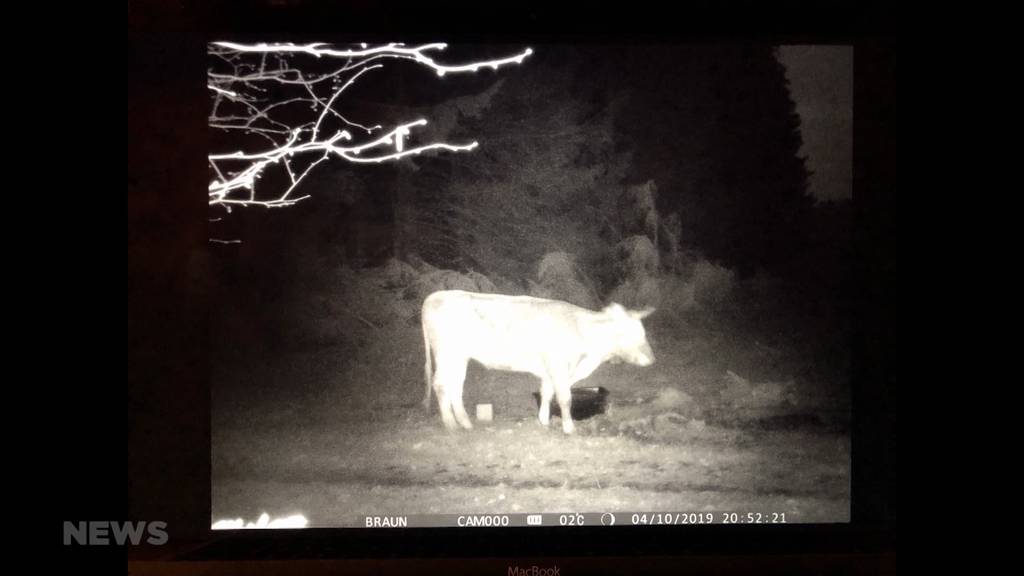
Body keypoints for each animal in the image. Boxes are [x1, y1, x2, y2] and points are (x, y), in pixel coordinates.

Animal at [421, 289, 655, 432]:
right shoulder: (558, 365)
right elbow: (564, 397)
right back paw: (451, 424)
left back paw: (465, 422)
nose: (652, 359)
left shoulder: (550, 368)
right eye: (628, 333)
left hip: (459, 357)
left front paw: (543, 420)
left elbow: (547, 393)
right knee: (441, 384)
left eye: (643, 332)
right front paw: (569, 428)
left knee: (455, 385)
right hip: (446, 353)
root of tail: (435, 296)